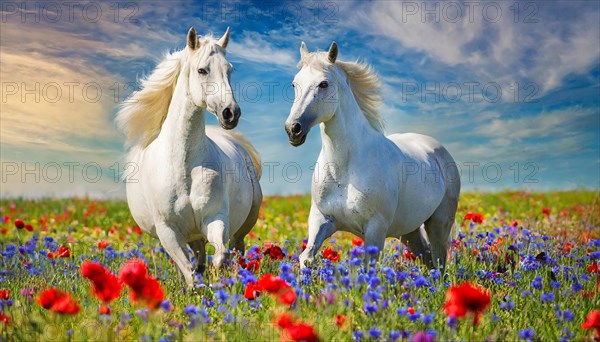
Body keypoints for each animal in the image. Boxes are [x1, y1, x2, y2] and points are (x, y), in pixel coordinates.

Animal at [116, 26, 262, 284]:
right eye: (202, 70)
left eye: (229, 69)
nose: (230, 113)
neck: (183, 166)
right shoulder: (169, 232)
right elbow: (189, 270)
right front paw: (199, 287)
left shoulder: (215, 218)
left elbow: (220, 256)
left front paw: (218, 280)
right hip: (189, 236)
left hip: (241, 225)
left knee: (236, 250)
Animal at [286, 42, 460, 270]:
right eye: (294, 84)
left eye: (323, 84)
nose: (293, 129)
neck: (344, 169)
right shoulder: (322, 219)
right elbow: (306, 257)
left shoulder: (375, 229)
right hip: (408, 230)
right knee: (428, 257)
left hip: (439, 223)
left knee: (439, 261)